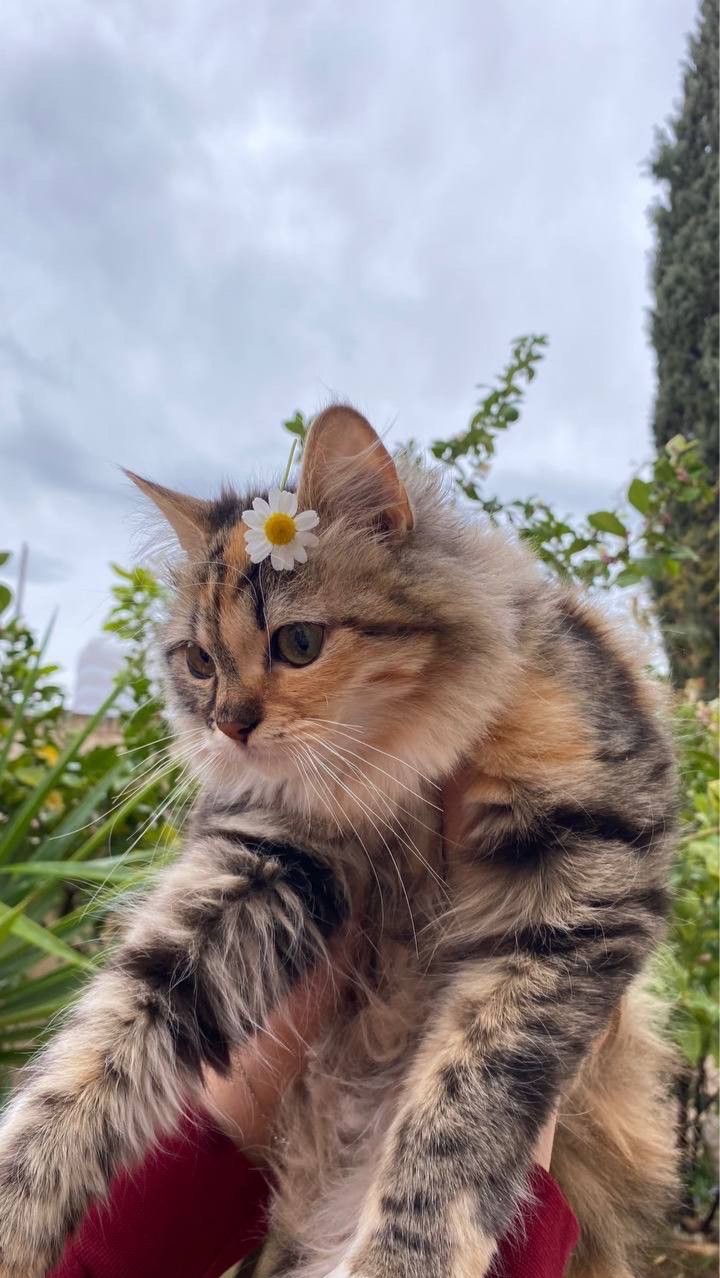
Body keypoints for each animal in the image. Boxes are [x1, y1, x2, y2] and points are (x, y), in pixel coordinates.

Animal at [0, 408, 680, 1278]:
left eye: (298, 645)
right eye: (198, 662)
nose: (228, 725)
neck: (392, 776)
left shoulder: (577, 887)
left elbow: (456, 1121)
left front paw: (400, 1261)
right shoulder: (264, 858)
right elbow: (103, 1047)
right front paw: (17, 1213)